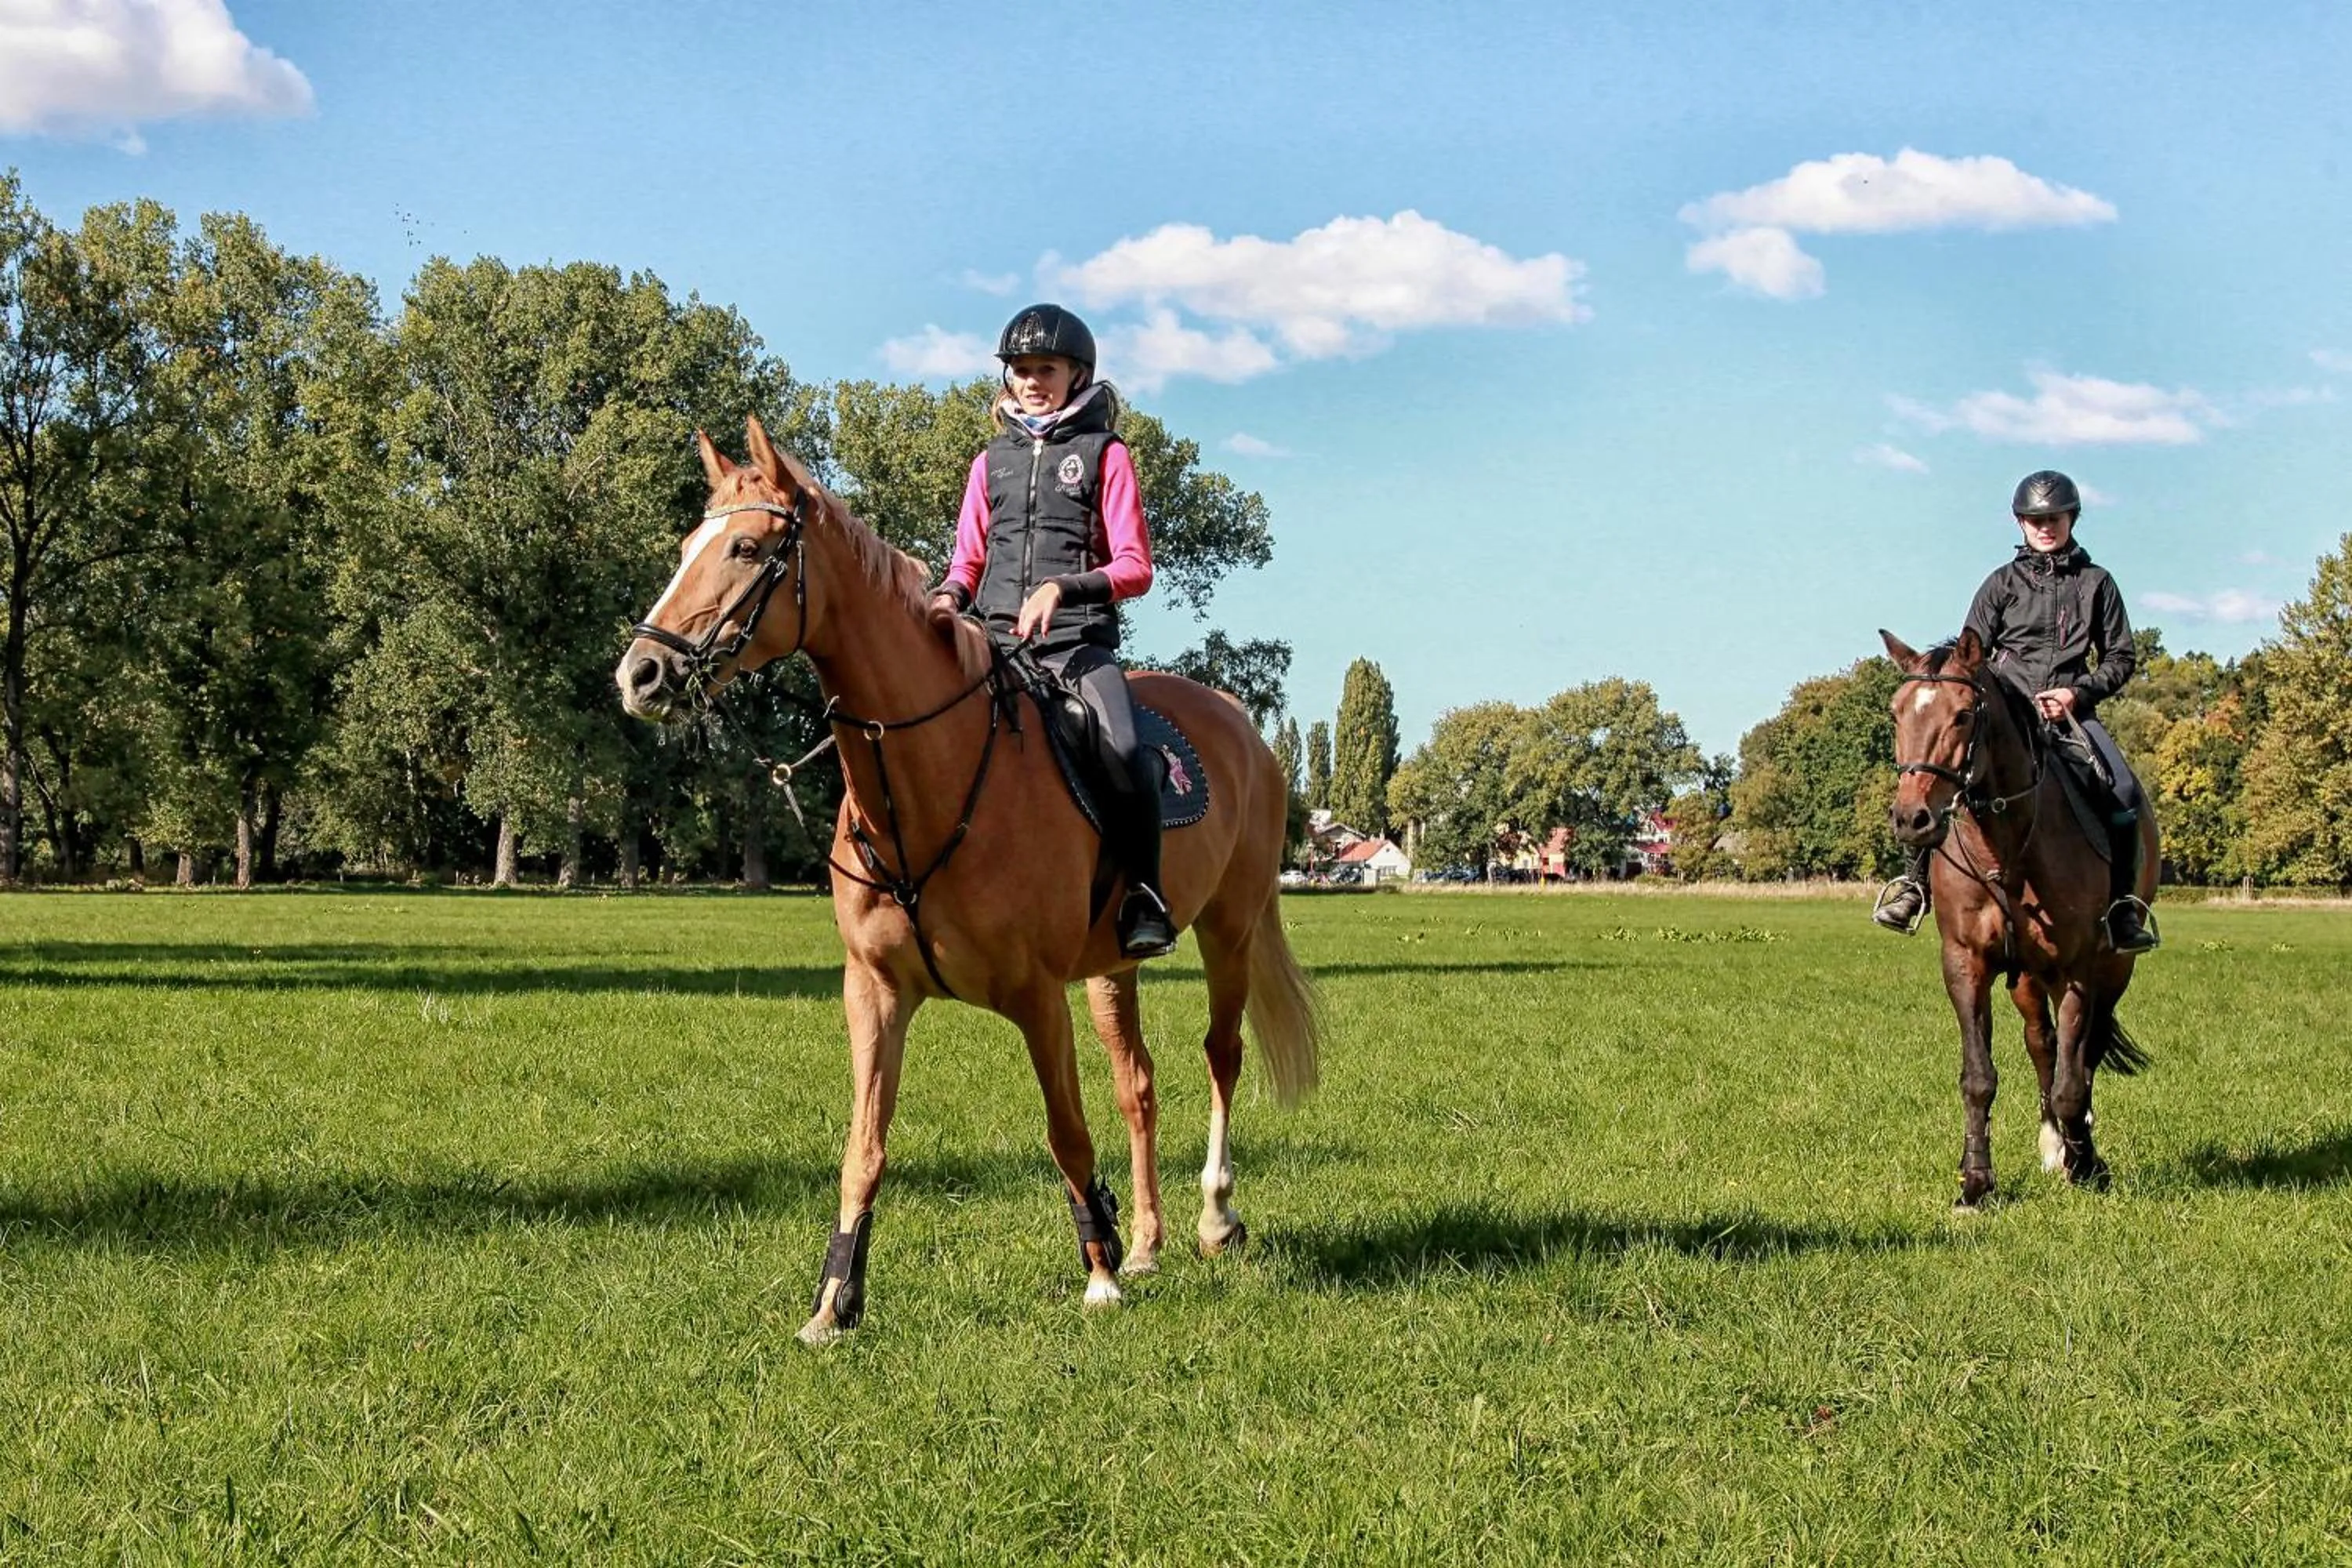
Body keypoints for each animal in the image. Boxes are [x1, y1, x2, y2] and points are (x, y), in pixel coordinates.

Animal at [616, 416, 1318, 1343]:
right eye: (685, 547)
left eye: (745, 547)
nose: (640, 674)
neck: (930, 781)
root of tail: (1242, 725)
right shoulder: (875, 993)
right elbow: (864, 1150)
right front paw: (833, 1303)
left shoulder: (1037, 995)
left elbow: (1065, 1133)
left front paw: (1097, 1275)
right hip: (1114, 968)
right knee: (1138, 1086)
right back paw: (1145, 1243)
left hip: (1229, 929)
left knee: (1222, 1057)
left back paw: (1212, 1217)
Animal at [1879, 628, 2157, 1209]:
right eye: (1896, 713)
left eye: (1963, 715)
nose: (1912, 819)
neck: (2006, 848)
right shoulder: (1966, 964)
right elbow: (1979, 1077)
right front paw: (1976, 1183)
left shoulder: (2078, 970)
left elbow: (2075, 1080)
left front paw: (2087, 1166)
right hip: (2027, 977)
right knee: (2042, 1043)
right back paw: (2055, 1143)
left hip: (2112, 970)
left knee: (2085, 1053)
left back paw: (2076, 1148)